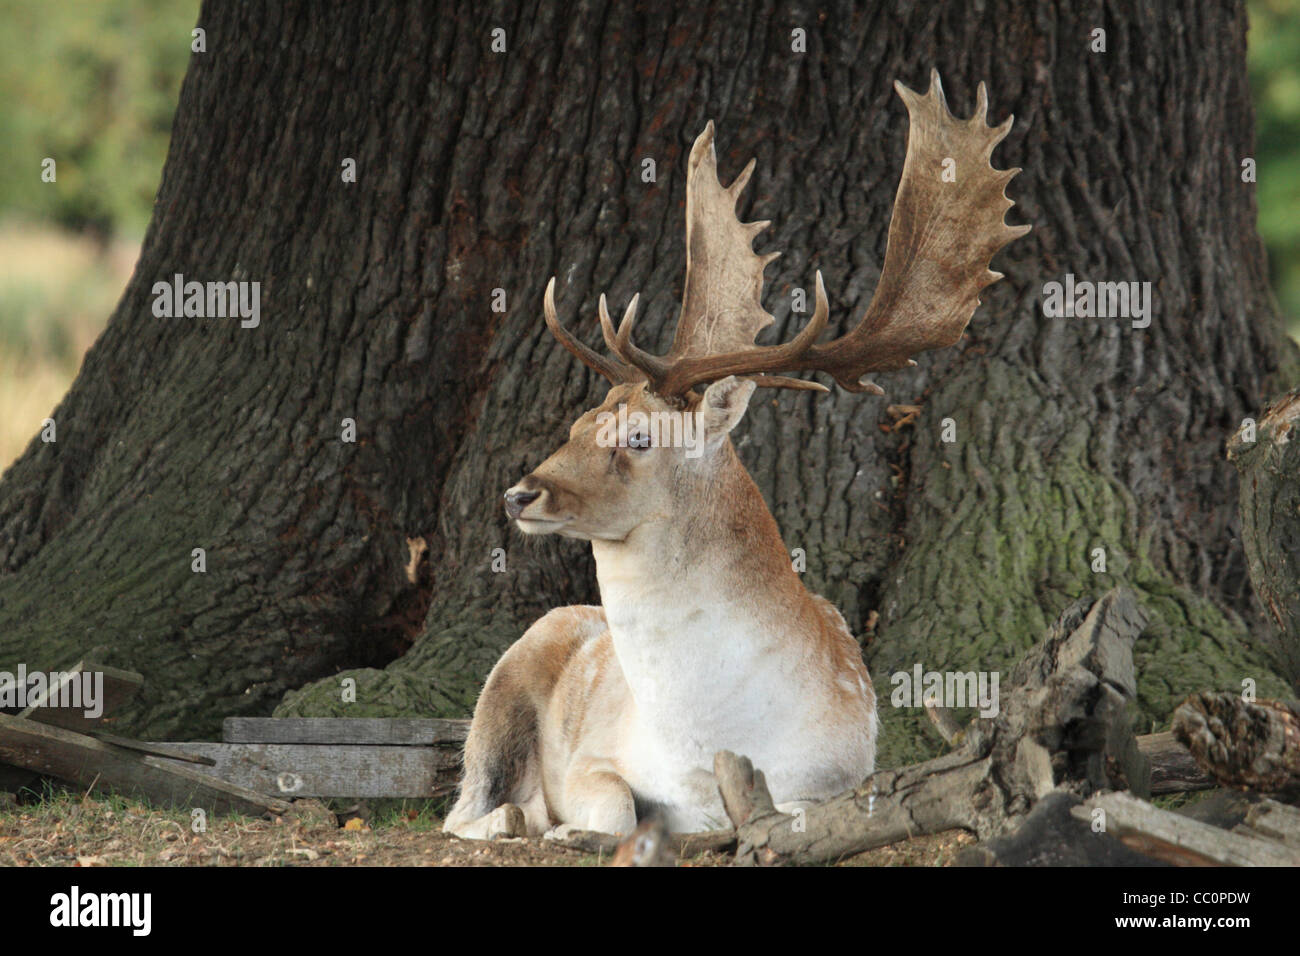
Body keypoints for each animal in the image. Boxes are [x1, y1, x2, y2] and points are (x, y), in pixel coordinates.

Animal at [443, 70, 1030, 840]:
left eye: (638, 437)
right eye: (578, 422)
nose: (518, 494)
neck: (705, 745)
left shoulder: (841, 777)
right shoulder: (595, 761)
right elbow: (618, 807)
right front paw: (568, 825)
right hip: (504, 681)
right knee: (461, 808)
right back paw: (520, 818)